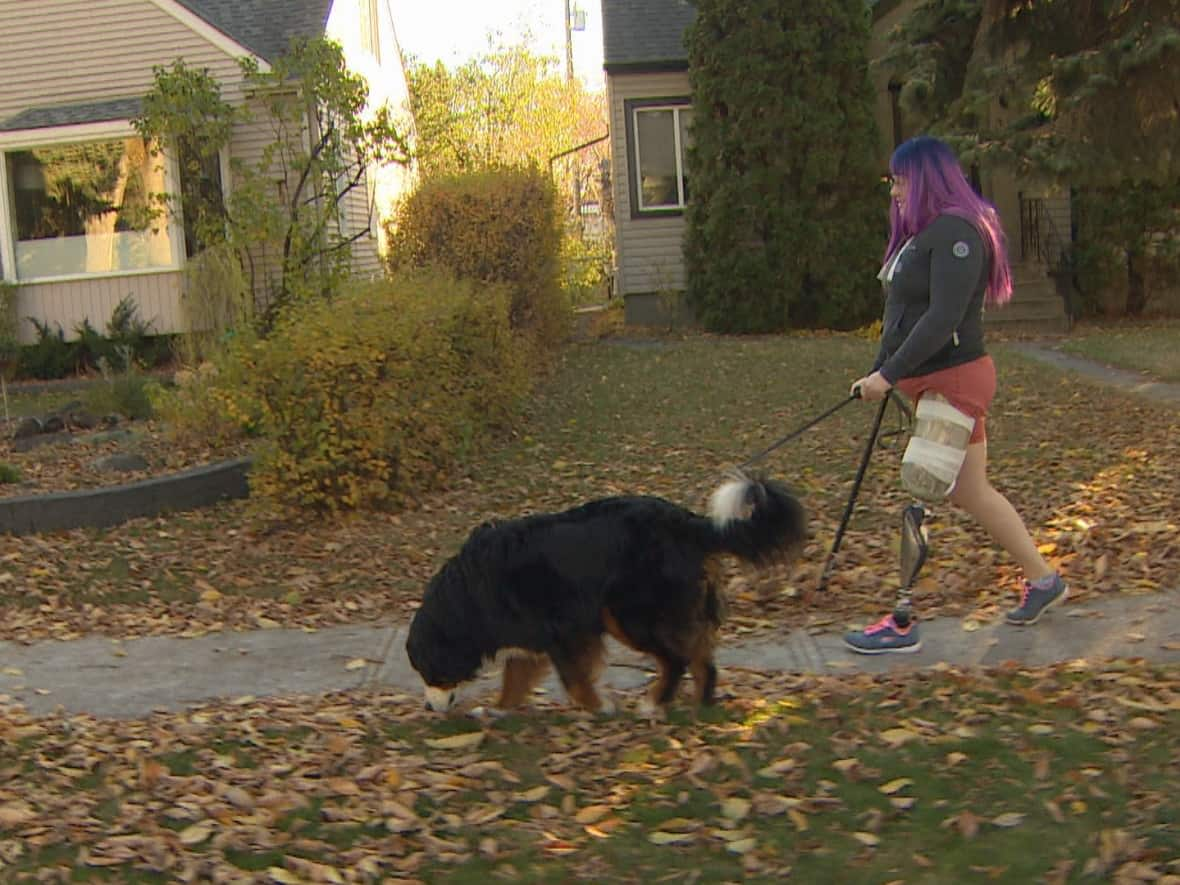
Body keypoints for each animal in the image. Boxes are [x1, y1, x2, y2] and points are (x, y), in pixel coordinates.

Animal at [403, 474, 802, 717]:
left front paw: (599, 706)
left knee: (676, 659)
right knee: (702, 658)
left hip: (629, 614)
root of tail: (685, 521)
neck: (468, 596)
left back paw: (654, 703)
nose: (427, 708)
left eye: (428, 669)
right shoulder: (531, 634)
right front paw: (499, 709)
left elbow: (573, 679)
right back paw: (699, 706)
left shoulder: (566, 628)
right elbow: (515, 677)